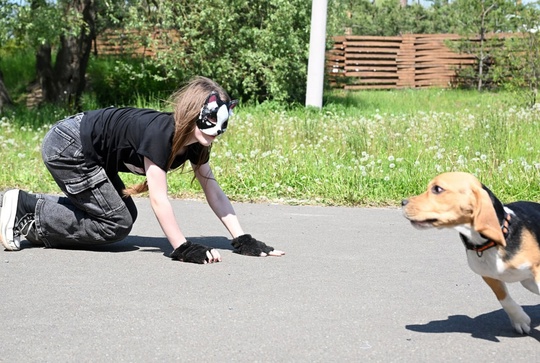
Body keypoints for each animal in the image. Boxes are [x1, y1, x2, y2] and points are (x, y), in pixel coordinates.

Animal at [400, 172, 540, 334]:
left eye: (437, 189)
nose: (402, 202)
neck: (489, 244)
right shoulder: (489, 276)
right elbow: (504, 299)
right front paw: (519, 319)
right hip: (527, 283)